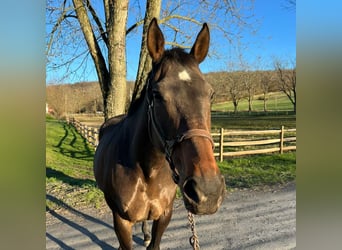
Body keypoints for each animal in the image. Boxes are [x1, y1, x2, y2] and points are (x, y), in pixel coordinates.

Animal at [95, 18, 226, 249]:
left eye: (210, 94)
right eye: (156, 94)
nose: (208, 191)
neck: (148, 171)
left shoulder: (165, 215)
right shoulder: (122, 221)